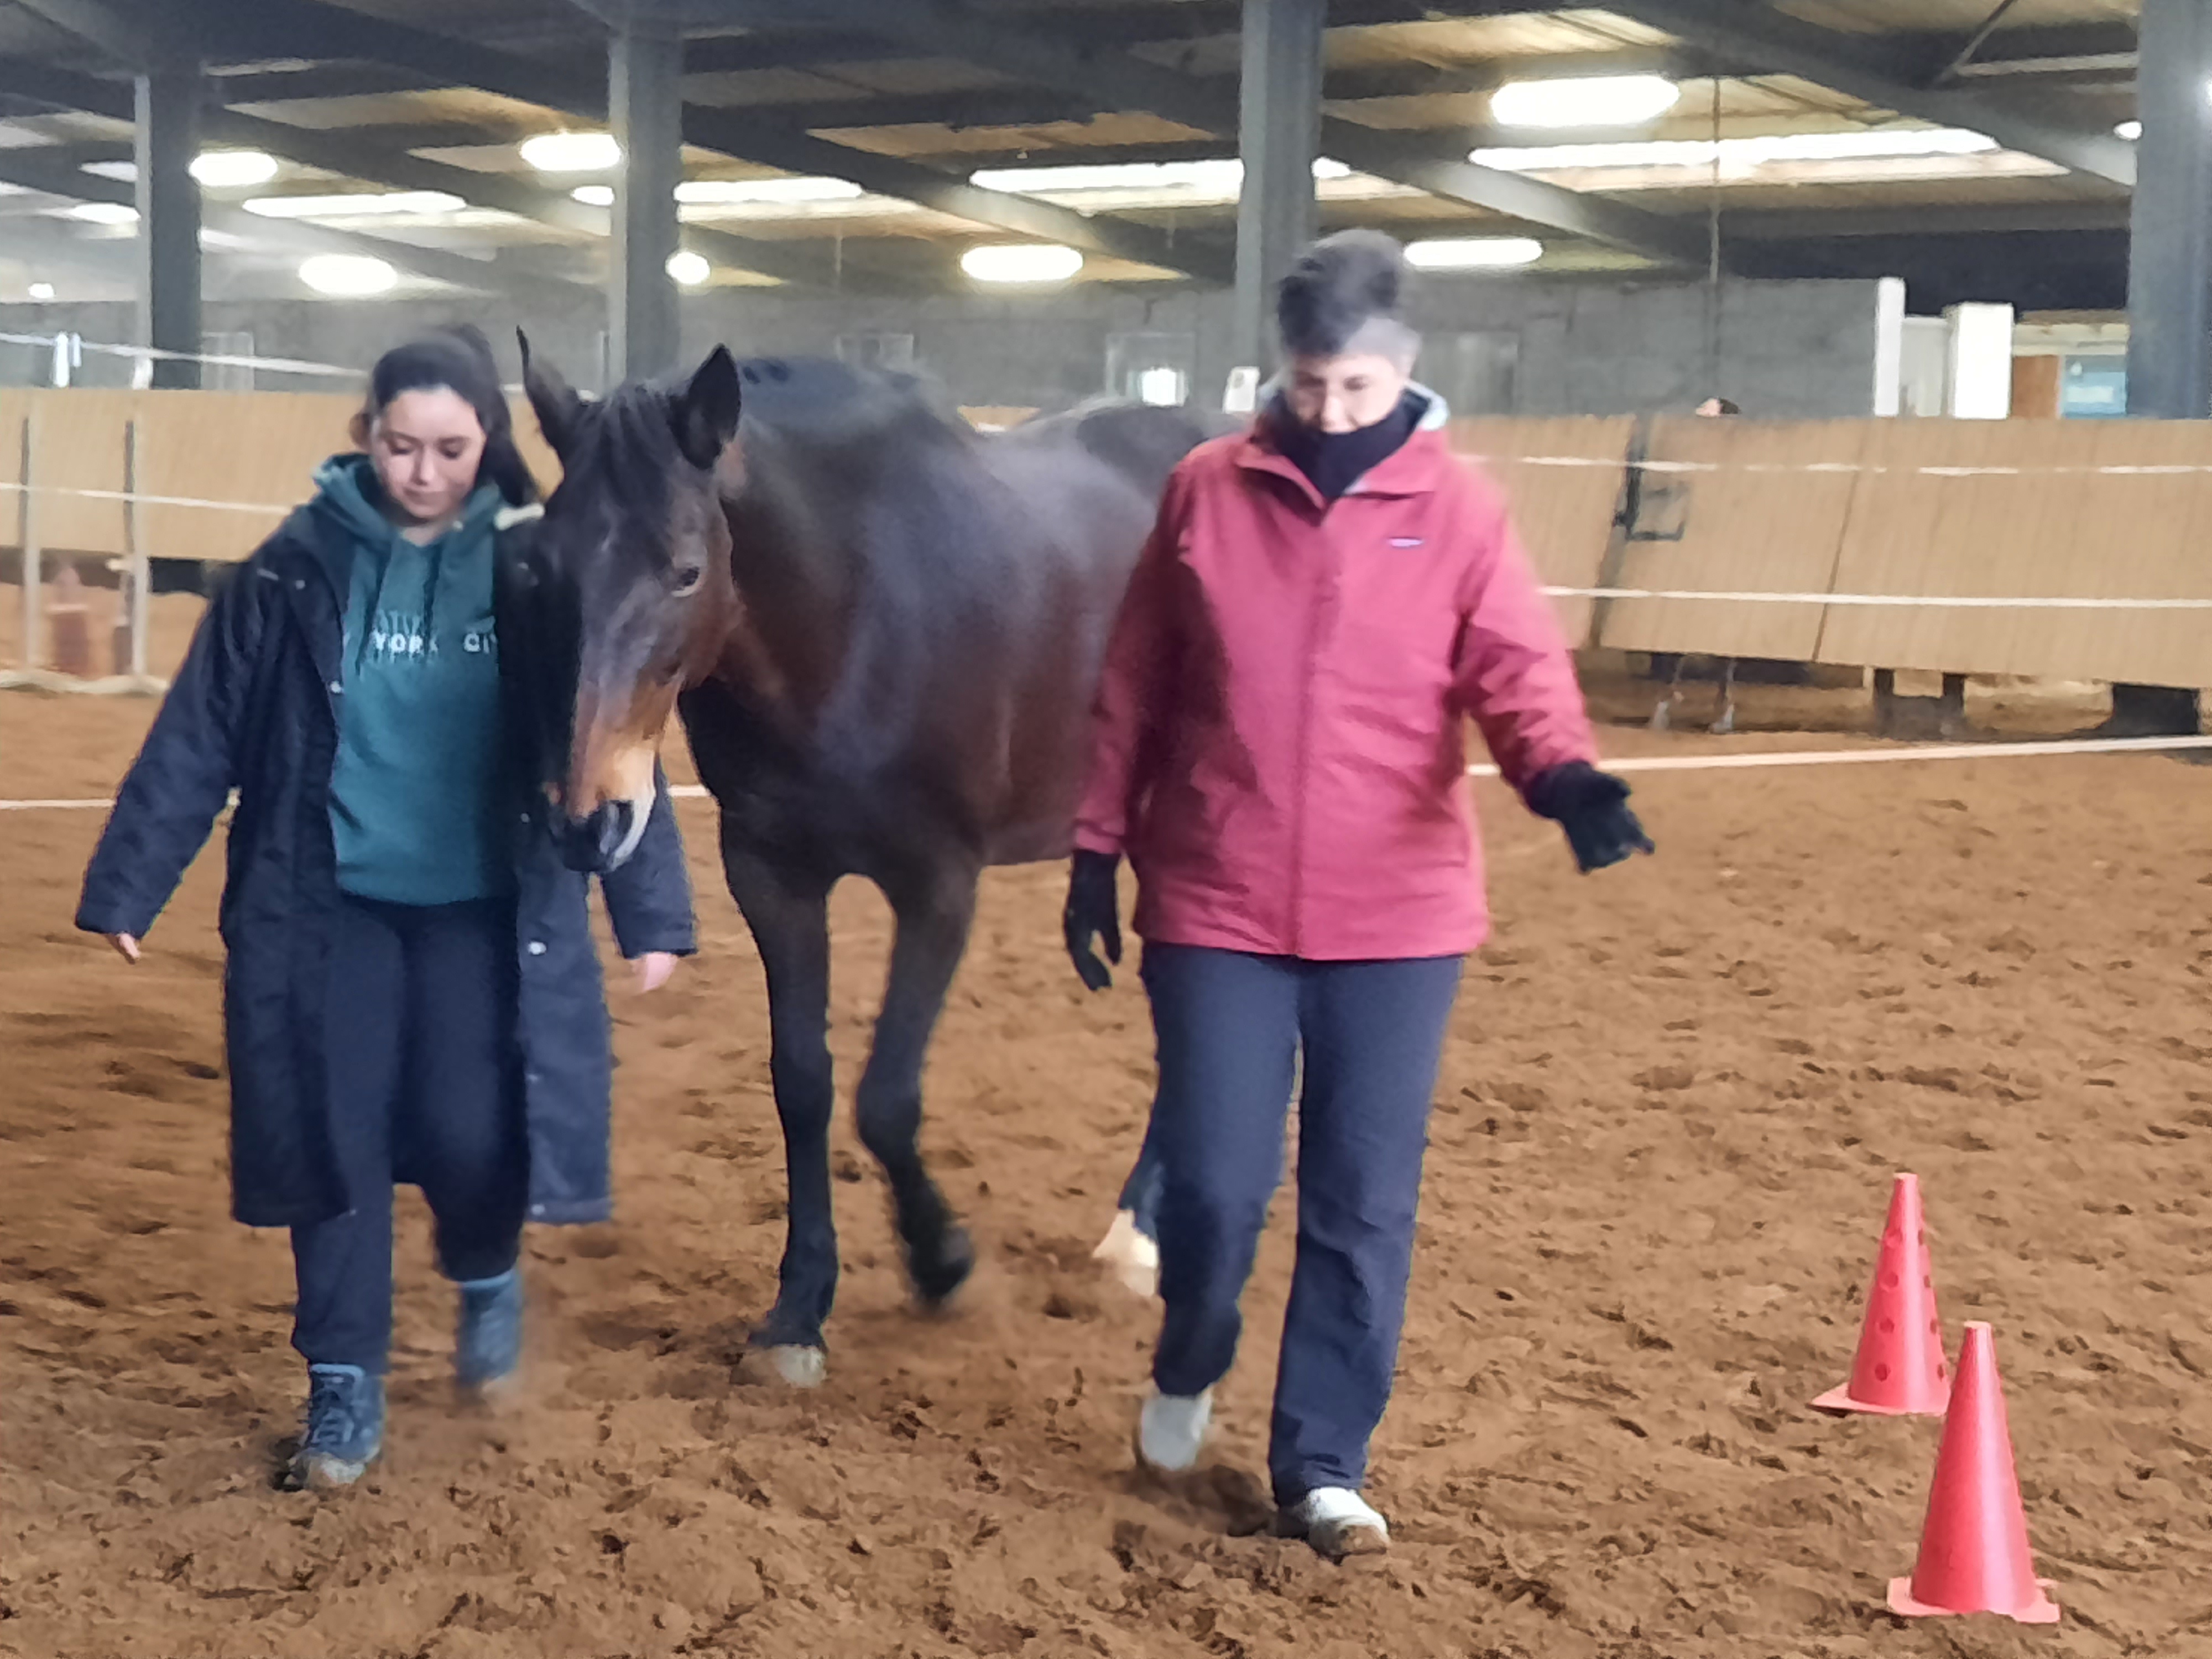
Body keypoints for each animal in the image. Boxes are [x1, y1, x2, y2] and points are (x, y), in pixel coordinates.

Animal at [511, 338, 1226, 1385]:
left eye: (687, 571)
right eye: (542, 568)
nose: (586, 821)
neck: (852, 616)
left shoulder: (938, 885)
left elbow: (885, 1099)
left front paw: (944, 1263)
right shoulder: (771, 876)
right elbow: (802, 1083)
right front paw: (799, 1309)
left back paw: (1142, 1238)